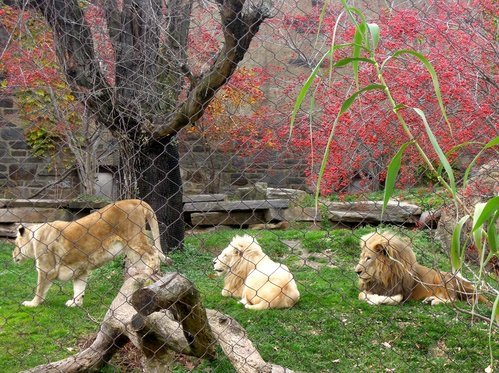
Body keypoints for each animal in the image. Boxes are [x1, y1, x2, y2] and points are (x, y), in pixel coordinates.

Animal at [11, 199, 167, 306]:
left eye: (16, 243)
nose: (13, 255)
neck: (34, 237)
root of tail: (136, 200)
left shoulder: (46, 269)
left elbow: (40, 289)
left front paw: (32, 304)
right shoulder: (80, 270)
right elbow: (79, 288)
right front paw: (75, 303)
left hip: (135, 240)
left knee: (153, 253)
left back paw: (149, 273)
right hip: (132, 252)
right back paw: (151, 279)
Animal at [356, 231, 492, 306]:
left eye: (368, 258)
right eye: (361, 257)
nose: (357, 272)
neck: (382, 276)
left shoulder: (404, 293)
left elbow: (396, 298)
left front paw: (376, 300)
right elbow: (361, 294)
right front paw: (372, 297)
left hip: (441, 278)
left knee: (454, 299)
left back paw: (434, 301)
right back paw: (430, 298)